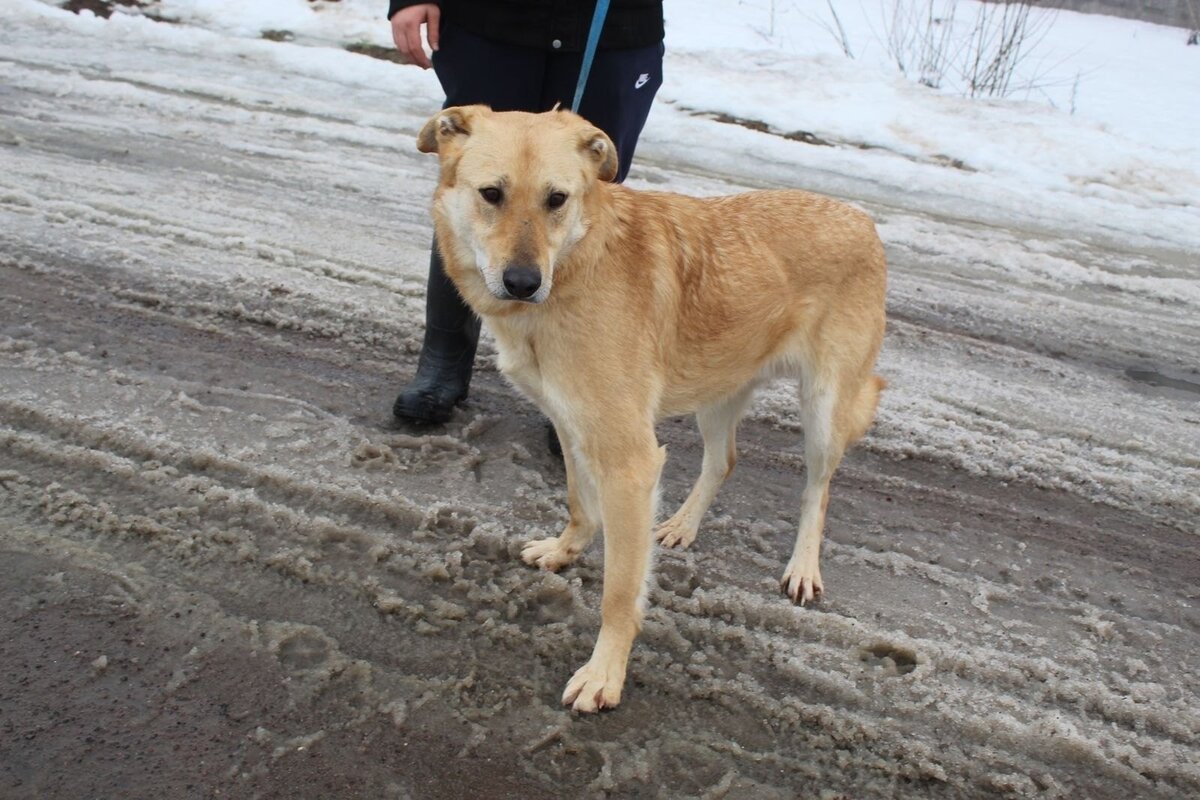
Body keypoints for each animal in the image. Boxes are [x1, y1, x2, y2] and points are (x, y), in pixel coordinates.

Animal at [417, 106, 888, 714]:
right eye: (491, 194)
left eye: (557, 199)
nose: (523, 283)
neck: (577, 264)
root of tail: (863, 220)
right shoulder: (572, 427)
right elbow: (579, 503)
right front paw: (566, 549)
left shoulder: (629, 463)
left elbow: (620, 591)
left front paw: (604, 674)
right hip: (719, 391)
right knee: (723, 461)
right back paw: (683, 526)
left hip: (825, 409)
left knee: (817, 490)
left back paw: (802, 566)